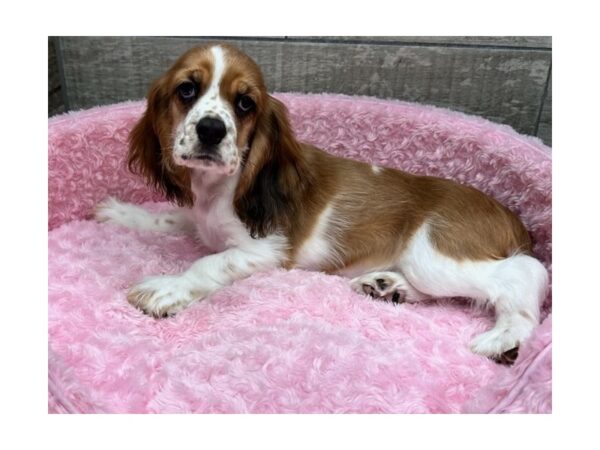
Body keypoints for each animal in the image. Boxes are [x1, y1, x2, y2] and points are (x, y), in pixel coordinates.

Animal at [95, 43, 548, 362]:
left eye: (245, 103)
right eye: (187, 90)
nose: (210, 130)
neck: (220, 187)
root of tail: (511, 217)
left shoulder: (266, 249)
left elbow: (209, 263)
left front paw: (166, 287)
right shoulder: (199, 217)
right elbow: (169, 218)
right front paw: (119, 212)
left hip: (435, 255)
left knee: (526, 275)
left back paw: (504, 337)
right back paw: (387, 287)